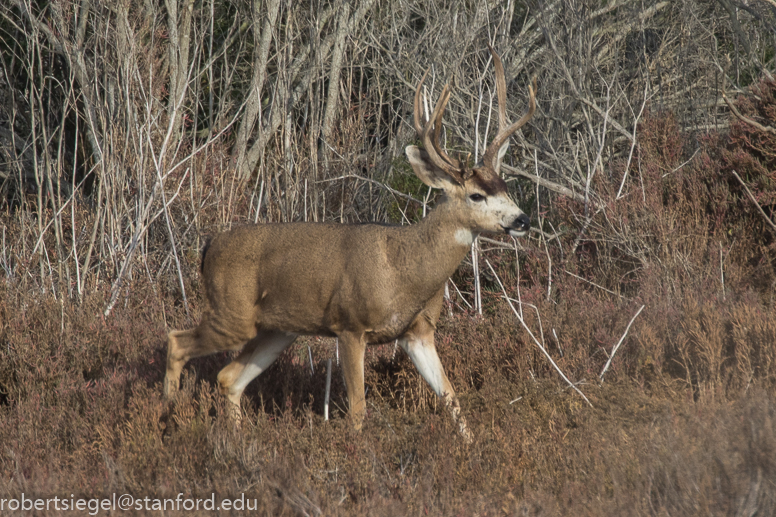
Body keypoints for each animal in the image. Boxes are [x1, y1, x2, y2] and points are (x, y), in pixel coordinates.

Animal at [165, 46, 532, 442]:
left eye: (506, 186)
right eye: (477, 195)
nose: (522, 220)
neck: (405, 268)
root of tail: (208, 247)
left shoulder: (419, 332)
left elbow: (450, 396)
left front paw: (471, 444)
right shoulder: (350, 324)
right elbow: (358, 408)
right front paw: (357, 448)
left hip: (276, 329)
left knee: (227, 378)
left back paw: (235, 437)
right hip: (232, 313)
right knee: (177, 342)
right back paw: (166, 416)